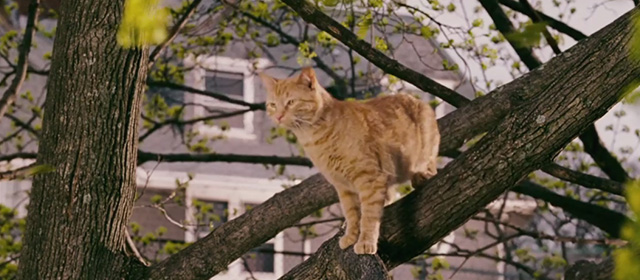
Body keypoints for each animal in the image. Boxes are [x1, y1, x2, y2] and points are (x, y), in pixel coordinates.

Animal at [260, 67, 440, 254]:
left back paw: (422, 177)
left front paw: (366, 241)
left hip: (424, 152)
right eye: (273, 105)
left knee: (430, 167)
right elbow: (352, 214)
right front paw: (351, 236)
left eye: (290, 102)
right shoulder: (343, 187)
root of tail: (419, 101)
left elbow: (368, 216)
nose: (278, 116)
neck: (315, 138)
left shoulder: (370, 179)